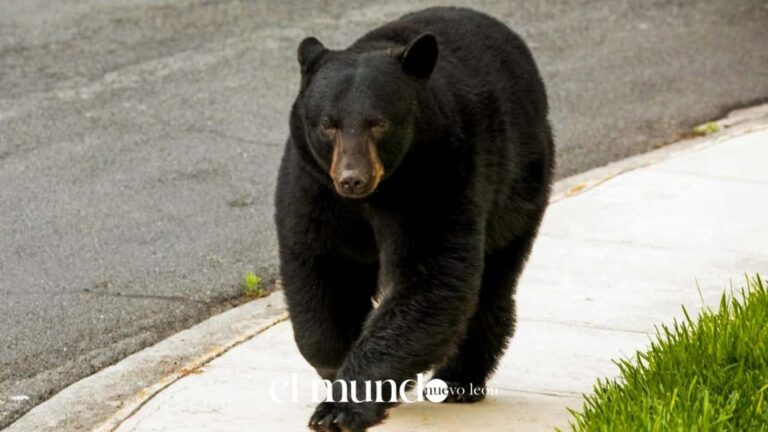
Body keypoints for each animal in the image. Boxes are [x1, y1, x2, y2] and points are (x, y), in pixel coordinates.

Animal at [275, 6, 554, 432]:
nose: (352, 178)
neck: (378, 194)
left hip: (521, 186)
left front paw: (341, 407)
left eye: (378, 122)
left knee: (492, 283)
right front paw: (335, 364)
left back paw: (459, 380)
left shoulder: (439, 176)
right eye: (328, 124)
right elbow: (322, 266)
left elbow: (430, 279)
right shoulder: (314, 186)